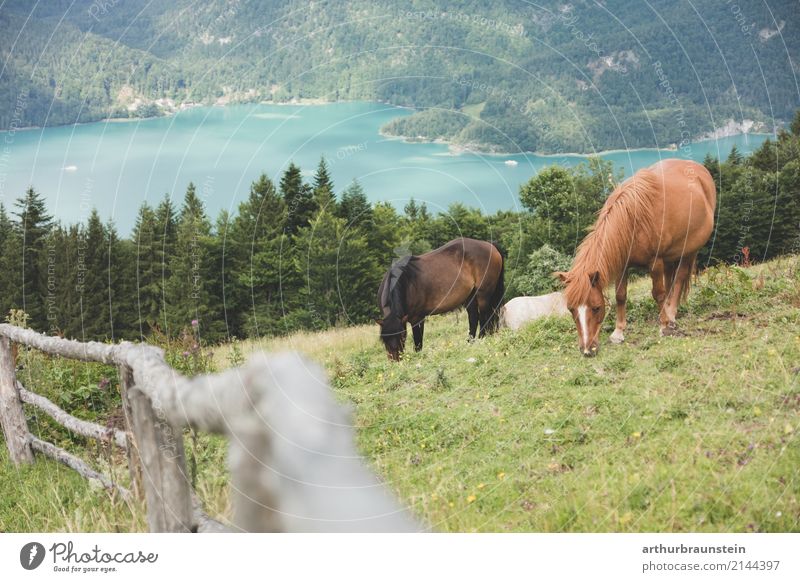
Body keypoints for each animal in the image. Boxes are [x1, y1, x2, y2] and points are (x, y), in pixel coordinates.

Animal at [556, 159, 720, 356]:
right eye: (571, 309)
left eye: (596, 308)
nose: (587, 350)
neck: (633, 219)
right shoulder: (622, 265)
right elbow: (621, 296)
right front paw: (618, 332)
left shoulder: (655, 262)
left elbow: (657, 293)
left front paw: (664, 325)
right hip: (670, 256)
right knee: (670, 279)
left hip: (689, 251)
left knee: (679, 278)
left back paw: (671, 315)